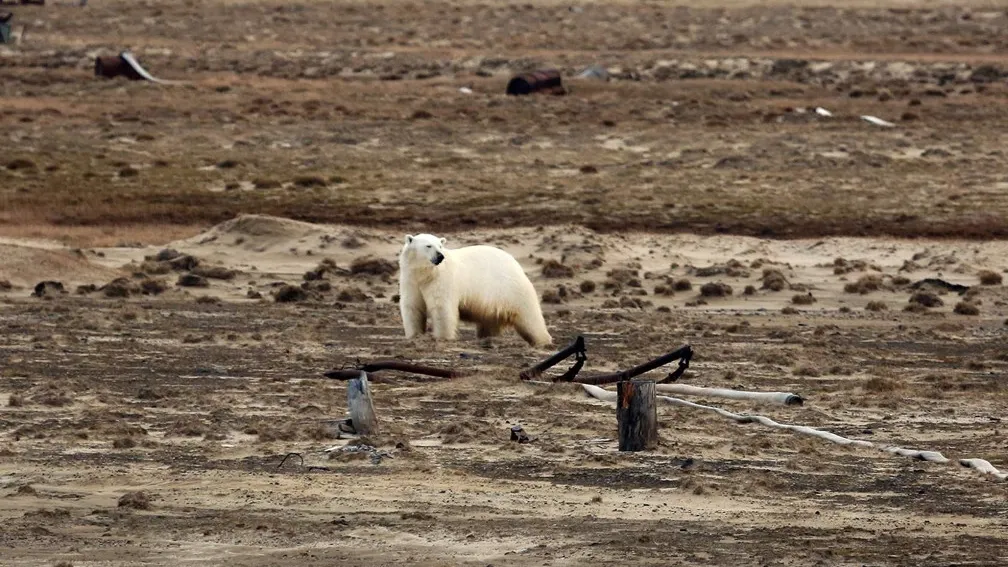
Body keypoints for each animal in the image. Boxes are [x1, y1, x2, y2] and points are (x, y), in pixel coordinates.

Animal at [395, 232, 552, 347]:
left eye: (440, 246)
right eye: (428, 246)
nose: (440, 256)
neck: (425, 274)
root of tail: (516, 264)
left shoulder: (441, 280)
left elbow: (441, 307)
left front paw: (442, 337)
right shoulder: (410, 280)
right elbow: (412, 306)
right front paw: (414, 336)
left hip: (510, 290)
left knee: (530, 317)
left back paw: (543, 341)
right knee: (490, 320)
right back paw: (487, 337)